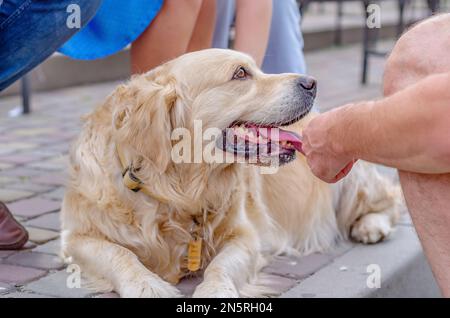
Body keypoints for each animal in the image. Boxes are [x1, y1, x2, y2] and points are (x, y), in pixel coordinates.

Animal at [60, 48, 400, 296]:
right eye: (240, 73)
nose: (311, 83)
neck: (176, 190)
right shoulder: (76, 238)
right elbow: (120, 255)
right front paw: (148, 285)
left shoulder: (246, 236)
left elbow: (220, 267)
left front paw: (214, 291)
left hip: (350, 176)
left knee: (390, 200)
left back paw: (371, 225)